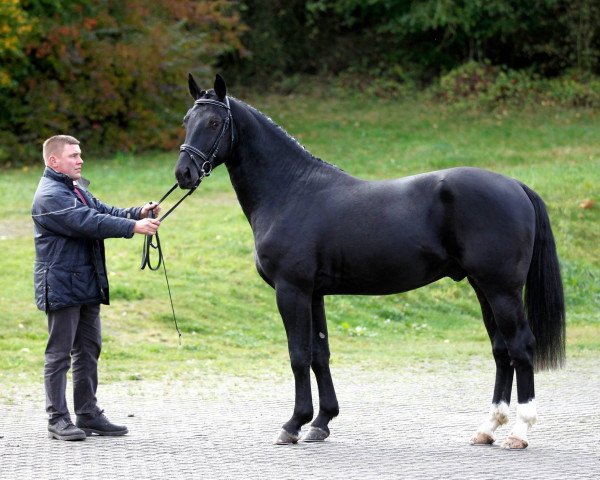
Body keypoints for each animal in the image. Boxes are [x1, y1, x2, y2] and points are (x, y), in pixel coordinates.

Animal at [172, 75, 564, 450]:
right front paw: (321, 423)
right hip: (483, 288)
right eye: (187, 120)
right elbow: (320, 354)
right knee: (501, 350)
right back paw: (487, 428)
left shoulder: (291, 290)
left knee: (520, 346)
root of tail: (515, 185)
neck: (291, 191)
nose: (183, 173)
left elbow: (298, 355)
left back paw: (520, 432)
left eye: (214, 122)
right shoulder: (314, 294)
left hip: (501, 290)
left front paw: (293, 424)